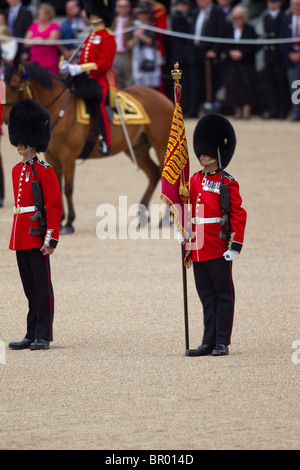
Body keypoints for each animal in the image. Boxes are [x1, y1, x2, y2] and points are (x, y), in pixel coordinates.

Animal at [2, 62, 173, 231]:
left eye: (15, 85)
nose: (6, 119)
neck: (60, 109)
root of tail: (165, 99)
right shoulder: (52, 157)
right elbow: (55, 189)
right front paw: (60, 220)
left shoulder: (68, 156)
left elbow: (68, 189)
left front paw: (69, 222)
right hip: (137, 150)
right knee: (153, 173)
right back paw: (143, 217)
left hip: (162, 146)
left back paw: (165, 218)